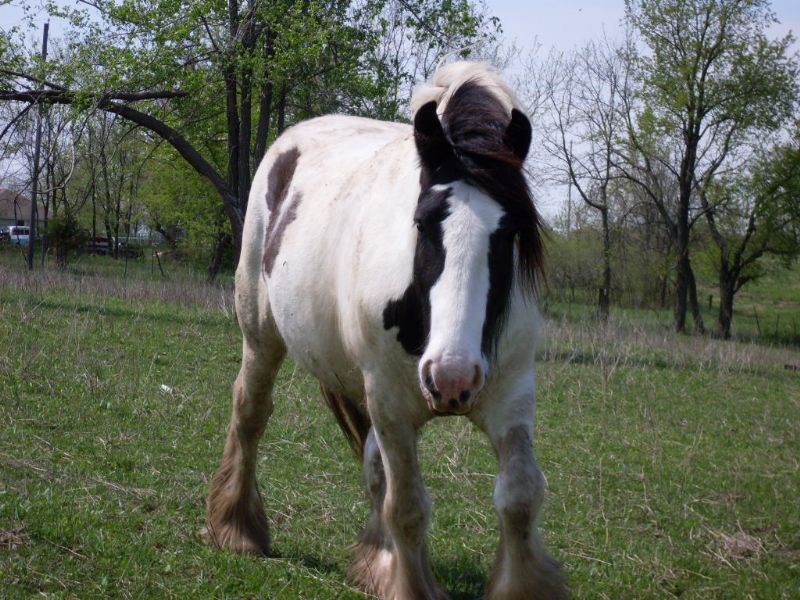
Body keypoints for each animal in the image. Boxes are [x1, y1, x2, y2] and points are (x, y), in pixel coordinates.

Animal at [204, 62, 567, 600]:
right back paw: (238, 528)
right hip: (262, 338)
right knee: (250, 415)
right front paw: (411, 584)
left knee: (374, 466)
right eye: (422, 223)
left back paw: (377, 560)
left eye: (509, 234)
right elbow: (408, 507)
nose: (452, 378)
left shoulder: (511, 396)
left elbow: (520, 495)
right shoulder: (392, 404)